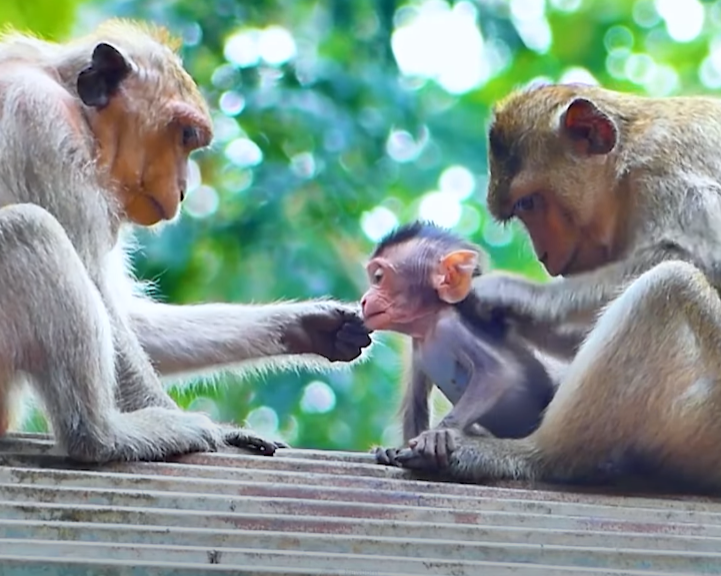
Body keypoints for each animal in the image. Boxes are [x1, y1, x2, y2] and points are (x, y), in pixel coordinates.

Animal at [0, 20, 373, 463]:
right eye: (184, 134)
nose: (181, 189)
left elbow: (129, 319)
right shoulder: (40, 120)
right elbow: (101, 295)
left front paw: (309, 326)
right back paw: (103, 437)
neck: (67, 95)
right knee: (29, 228)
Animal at [360, 221, 555, 468]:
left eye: (378, 277)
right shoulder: (417, 346)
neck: (429, 326)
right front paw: (393, 450)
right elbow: (416, 401)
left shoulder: (450, 326)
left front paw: (438, 435)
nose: (364, 300)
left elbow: (498, 373)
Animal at [388, 82, 721, 494]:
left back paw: (531, 456)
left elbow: (703, 256)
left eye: (530, 202)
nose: (543, 254)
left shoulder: (666, 174)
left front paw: (507, 293)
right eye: (521, 209)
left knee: (667, 286)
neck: (625, 169)